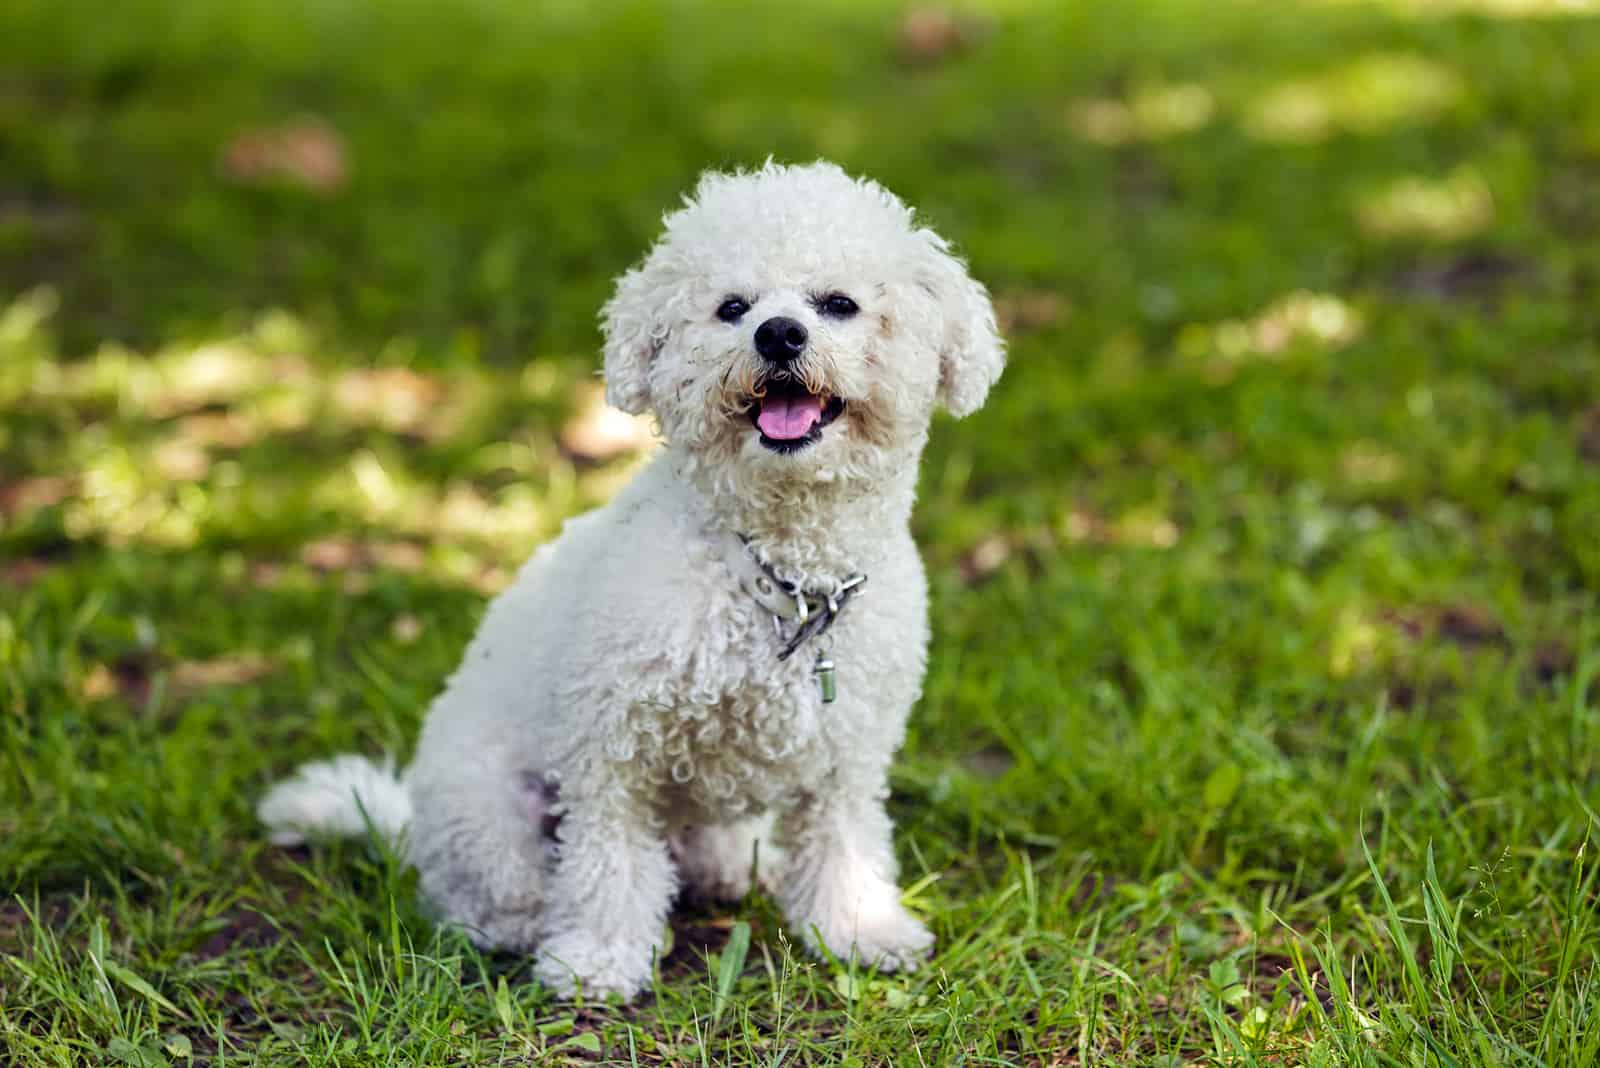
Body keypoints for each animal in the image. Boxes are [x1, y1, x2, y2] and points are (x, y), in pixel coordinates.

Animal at [262, 160, 1004, 1004]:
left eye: (838, 304)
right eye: (732, 307)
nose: (778, 333)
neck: (779, 574)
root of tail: (411, 821)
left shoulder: (848, 756)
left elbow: (844, 844)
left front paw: (858, 928)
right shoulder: (612, 747)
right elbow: (608, 863)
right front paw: (596, 958)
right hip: (485, 811)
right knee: (484, 889)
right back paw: (517, 923)